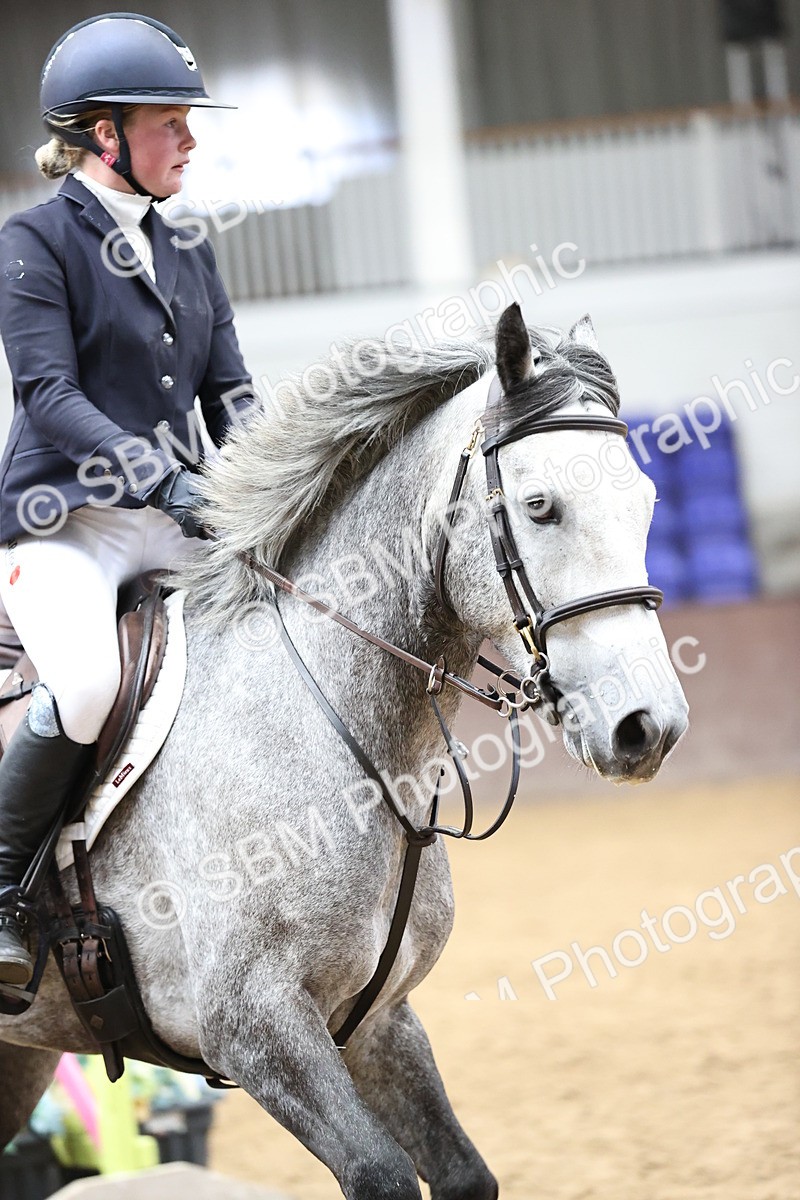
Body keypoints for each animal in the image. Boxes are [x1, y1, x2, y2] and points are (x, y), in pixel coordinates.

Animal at [0, 304, 688, 1199]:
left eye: (645, 499)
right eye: (540, 505)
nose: (650, 726)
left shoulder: (378, 1021)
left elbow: (463, 1173)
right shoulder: (256, 1031)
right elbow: (384, 1175)